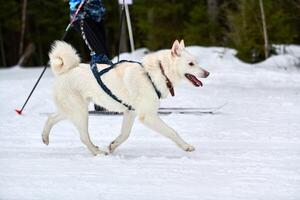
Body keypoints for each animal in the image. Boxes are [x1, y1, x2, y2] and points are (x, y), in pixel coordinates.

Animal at [42, 39, 210, 155]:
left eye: (196, 62)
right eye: (191, 64)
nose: (207, 73)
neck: (158, 73)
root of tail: (65, 71)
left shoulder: (130, 112)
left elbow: (125, 135)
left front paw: (113, 145)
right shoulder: (148, 116)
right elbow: (172, 131)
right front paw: (186, 146)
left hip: (72, 111)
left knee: (50, 118)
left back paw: (45, 138)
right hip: (80, 113)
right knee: (84, 137)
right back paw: (98, 152)